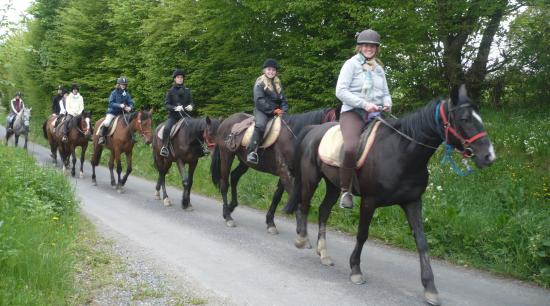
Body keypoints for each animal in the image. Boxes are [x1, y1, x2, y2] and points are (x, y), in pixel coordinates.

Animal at [286, 86, 498, 306]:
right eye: (464, 118)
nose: (489, 156)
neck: (401, 153)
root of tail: (313, 129)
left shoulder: (412, 202)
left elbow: (422, 242)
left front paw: (430, 288)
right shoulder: (369, 202)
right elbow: (362, 235)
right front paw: (355, 269)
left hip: (334, 185)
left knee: (323, 211)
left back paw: (324, 254)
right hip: (311, 179)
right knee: (304, 206)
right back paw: (302, 240)